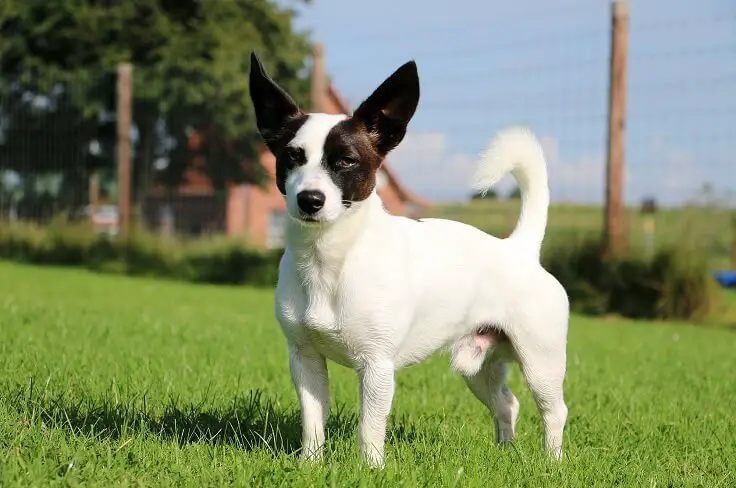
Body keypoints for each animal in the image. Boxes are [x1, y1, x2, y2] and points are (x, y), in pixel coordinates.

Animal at [247, 51, 568, 468]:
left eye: (346, 161)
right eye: (291, 157)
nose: (310, 199)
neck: (332, 259)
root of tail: (519, 248)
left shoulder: (377, 366)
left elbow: (369, 428)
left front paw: (370, 469)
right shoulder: (305, 360)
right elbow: (313, 421)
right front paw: (310, 465)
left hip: (541, 361)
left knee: (554, 411)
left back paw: (552, 463)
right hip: (479, 366)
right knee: (507, 404)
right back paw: (505, 451)